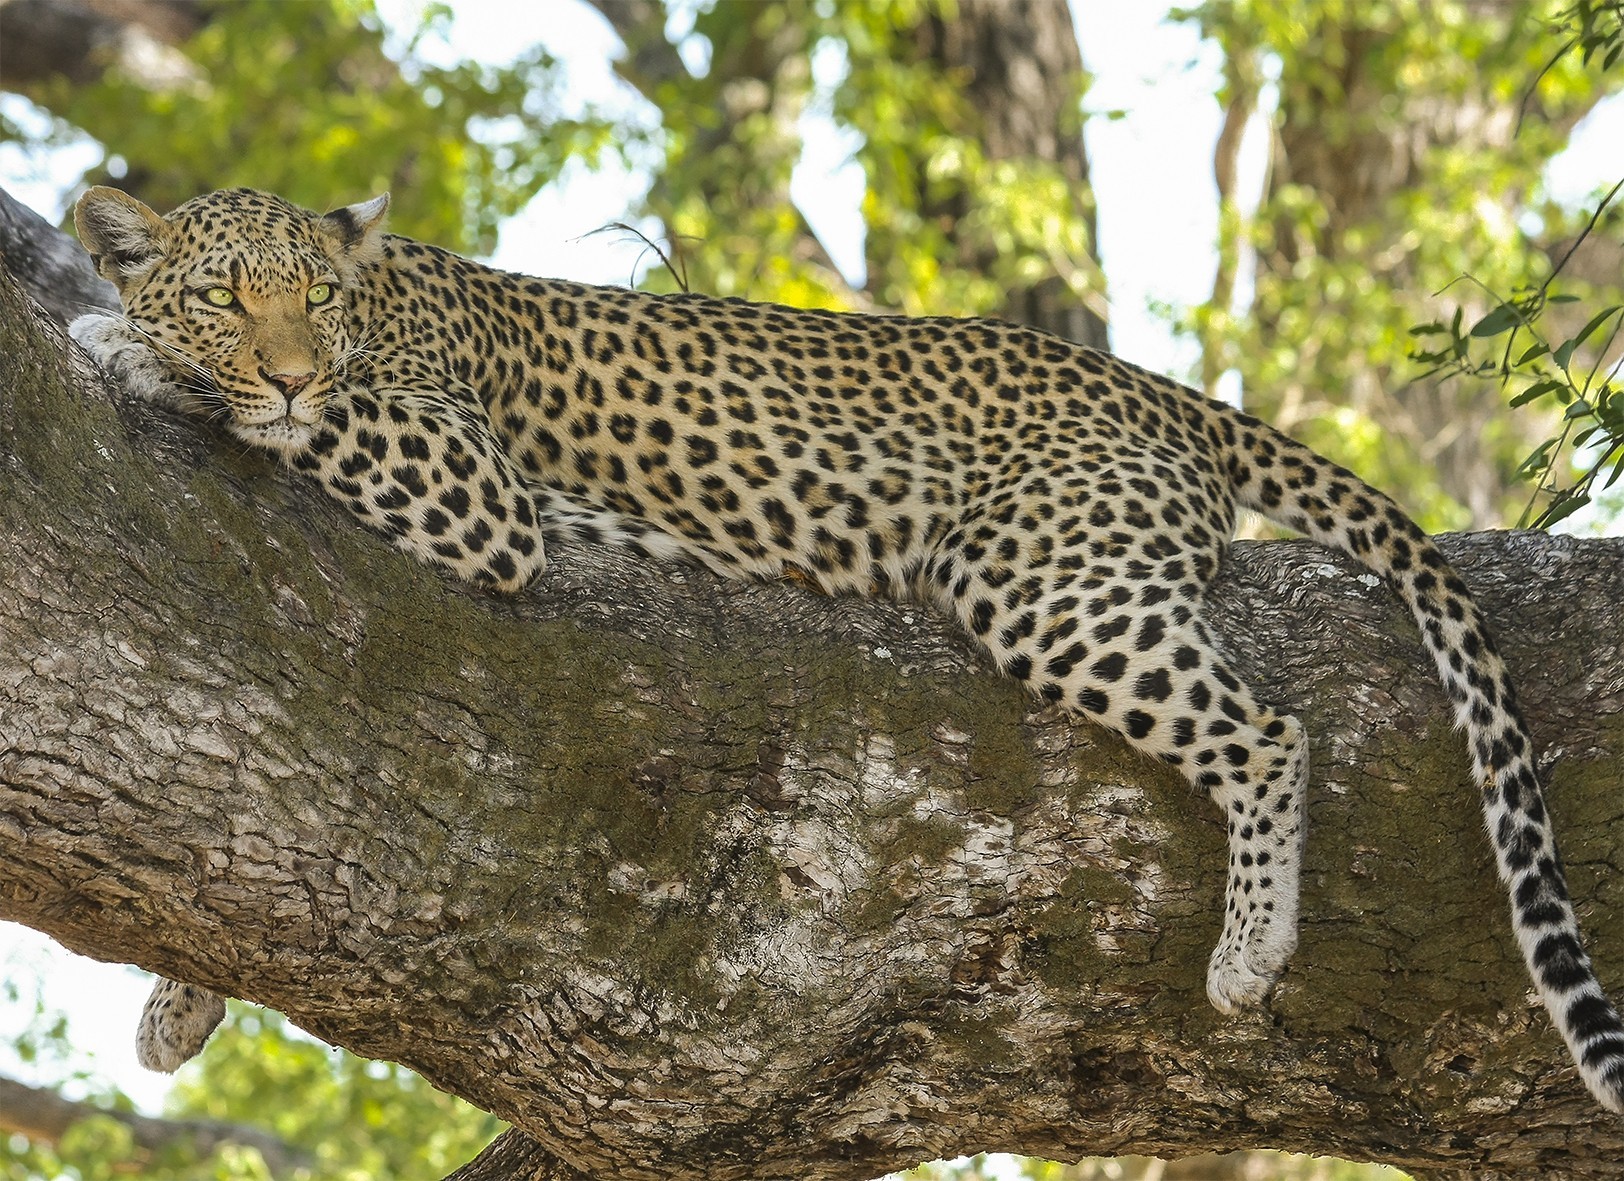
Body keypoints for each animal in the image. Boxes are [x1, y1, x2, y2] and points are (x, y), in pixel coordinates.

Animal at [66, 182, 1624, 1111]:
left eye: (312, 301)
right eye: (227, 293)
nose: (283, 364)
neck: (382, 302)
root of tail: (1159, 389)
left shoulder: (474, 486)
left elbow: (327, 420)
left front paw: (121, 343)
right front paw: (179, 999)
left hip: (1042, 576)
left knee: (1271, 730)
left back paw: (1250, 947)